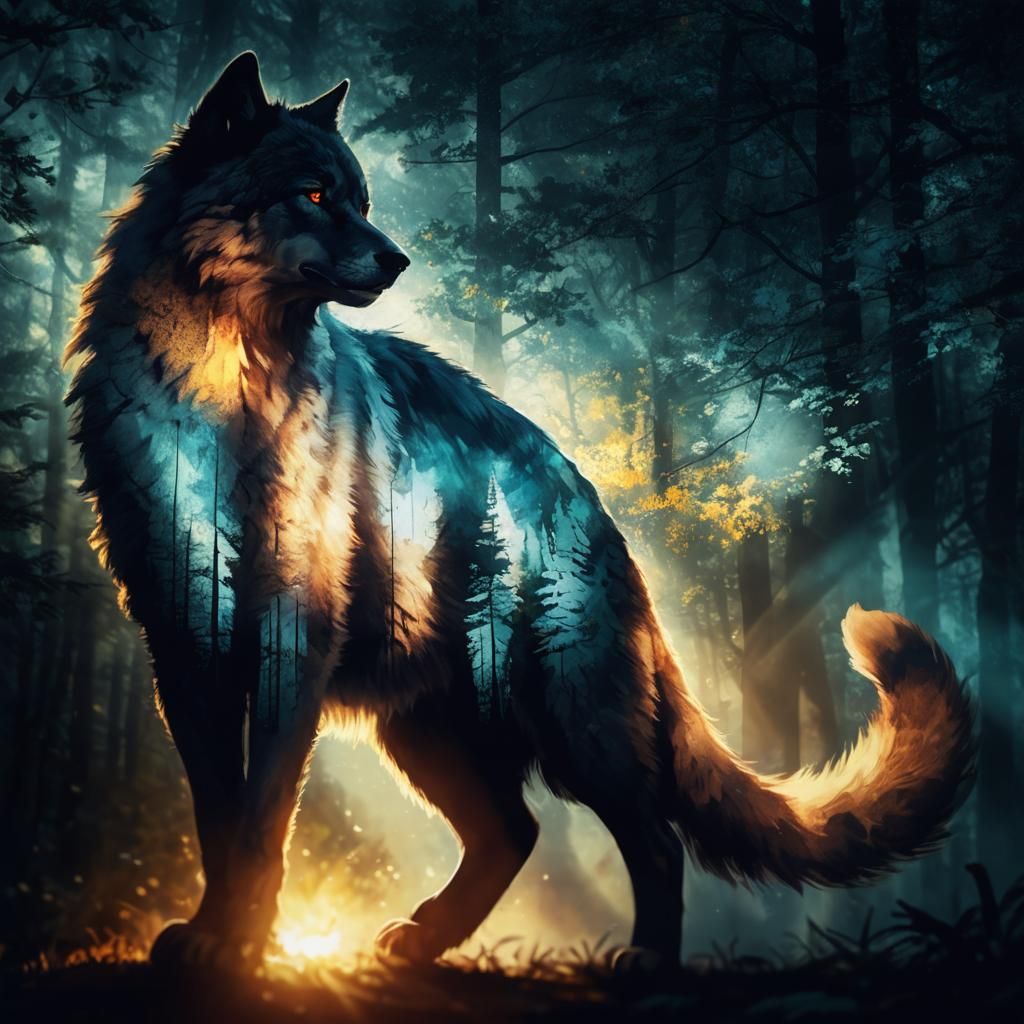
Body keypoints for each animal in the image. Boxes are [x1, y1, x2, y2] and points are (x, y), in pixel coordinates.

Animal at [66, 52, 974, 969]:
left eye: (361, 198)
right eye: (315, 194)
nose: (397, 260)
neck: (221, 388)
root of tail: (596, 506)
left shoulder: (293, 636)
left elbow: (261, 818)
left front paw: (243, 946)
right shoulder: (185, 641)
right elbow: (218, 817)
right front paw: (216, 936)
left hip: (574, 720)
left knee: (652, 840)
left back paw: (644, 962)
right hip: (428, 733)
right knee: (515, 831)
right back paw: (424, 941)